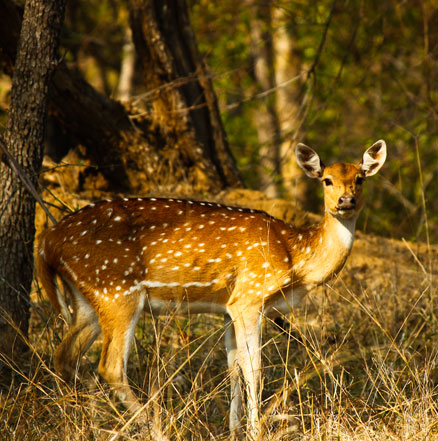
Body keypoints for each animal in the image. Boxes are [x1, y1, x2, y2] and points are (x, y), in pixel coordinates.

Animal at [37, 140, 386, 436]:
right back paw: (154, 429)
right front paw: (256, 431)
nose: (346, 201)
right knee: (109, 367)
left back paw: (80, 420)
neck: (294, 258)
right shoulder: (249, 296)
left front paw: (235, 430)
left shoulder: (229, 305)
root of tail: (48, 242)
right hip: (117, 290)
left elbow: (233, 367)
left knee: (64, 355)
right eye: (326, 180)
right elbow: (254, 369)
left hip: (87, 298)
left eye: (360, 179)